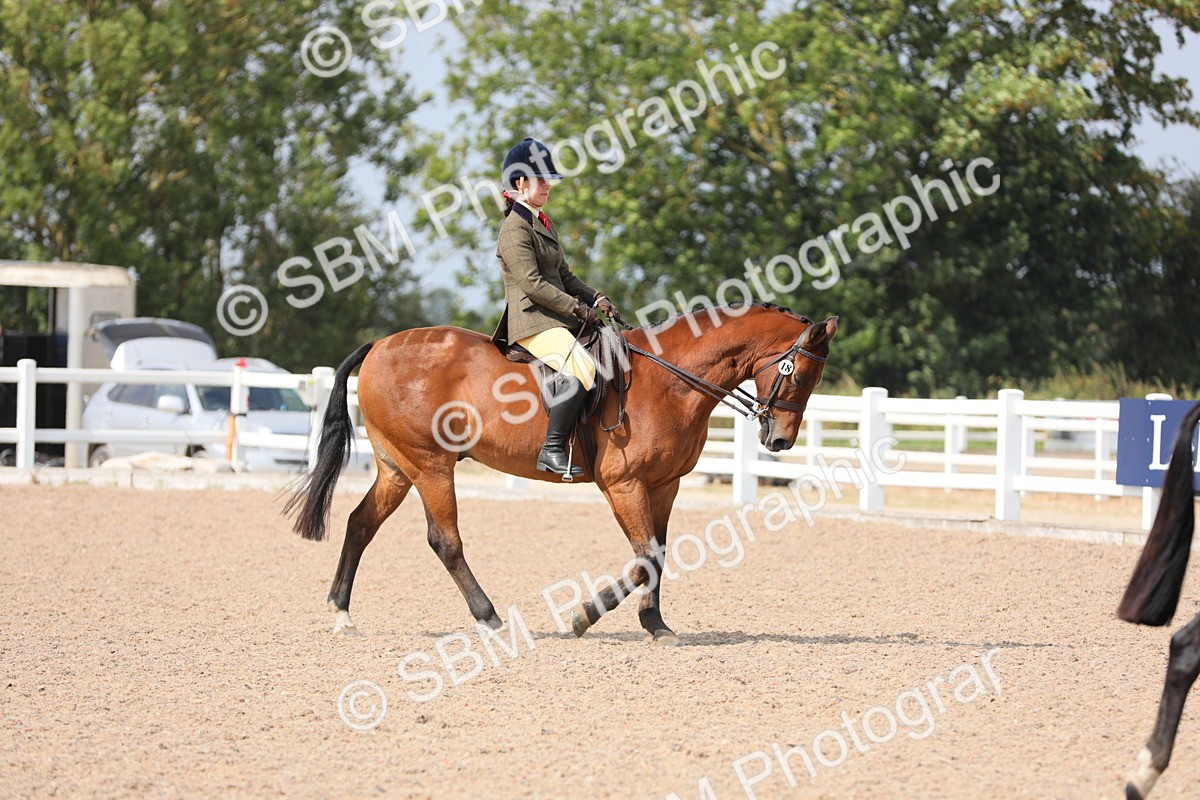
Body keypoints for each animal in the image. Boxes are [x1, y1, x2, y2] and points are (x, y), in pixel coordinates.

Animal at [285, 302, 838, 644]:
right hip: (430, 465)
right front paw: (583, 617)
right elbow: (644, 557)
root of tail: (380, 345)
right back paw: (489, 618)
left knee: (360, 524)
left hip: (397, 468)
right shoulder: (624, 485)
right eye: (796, 372)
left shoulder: (665, 485)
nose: (780, 441)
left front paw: (656, 624)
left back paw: (341, 612)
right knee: (445, 540)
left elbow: (657, 555)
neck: (671, 379)